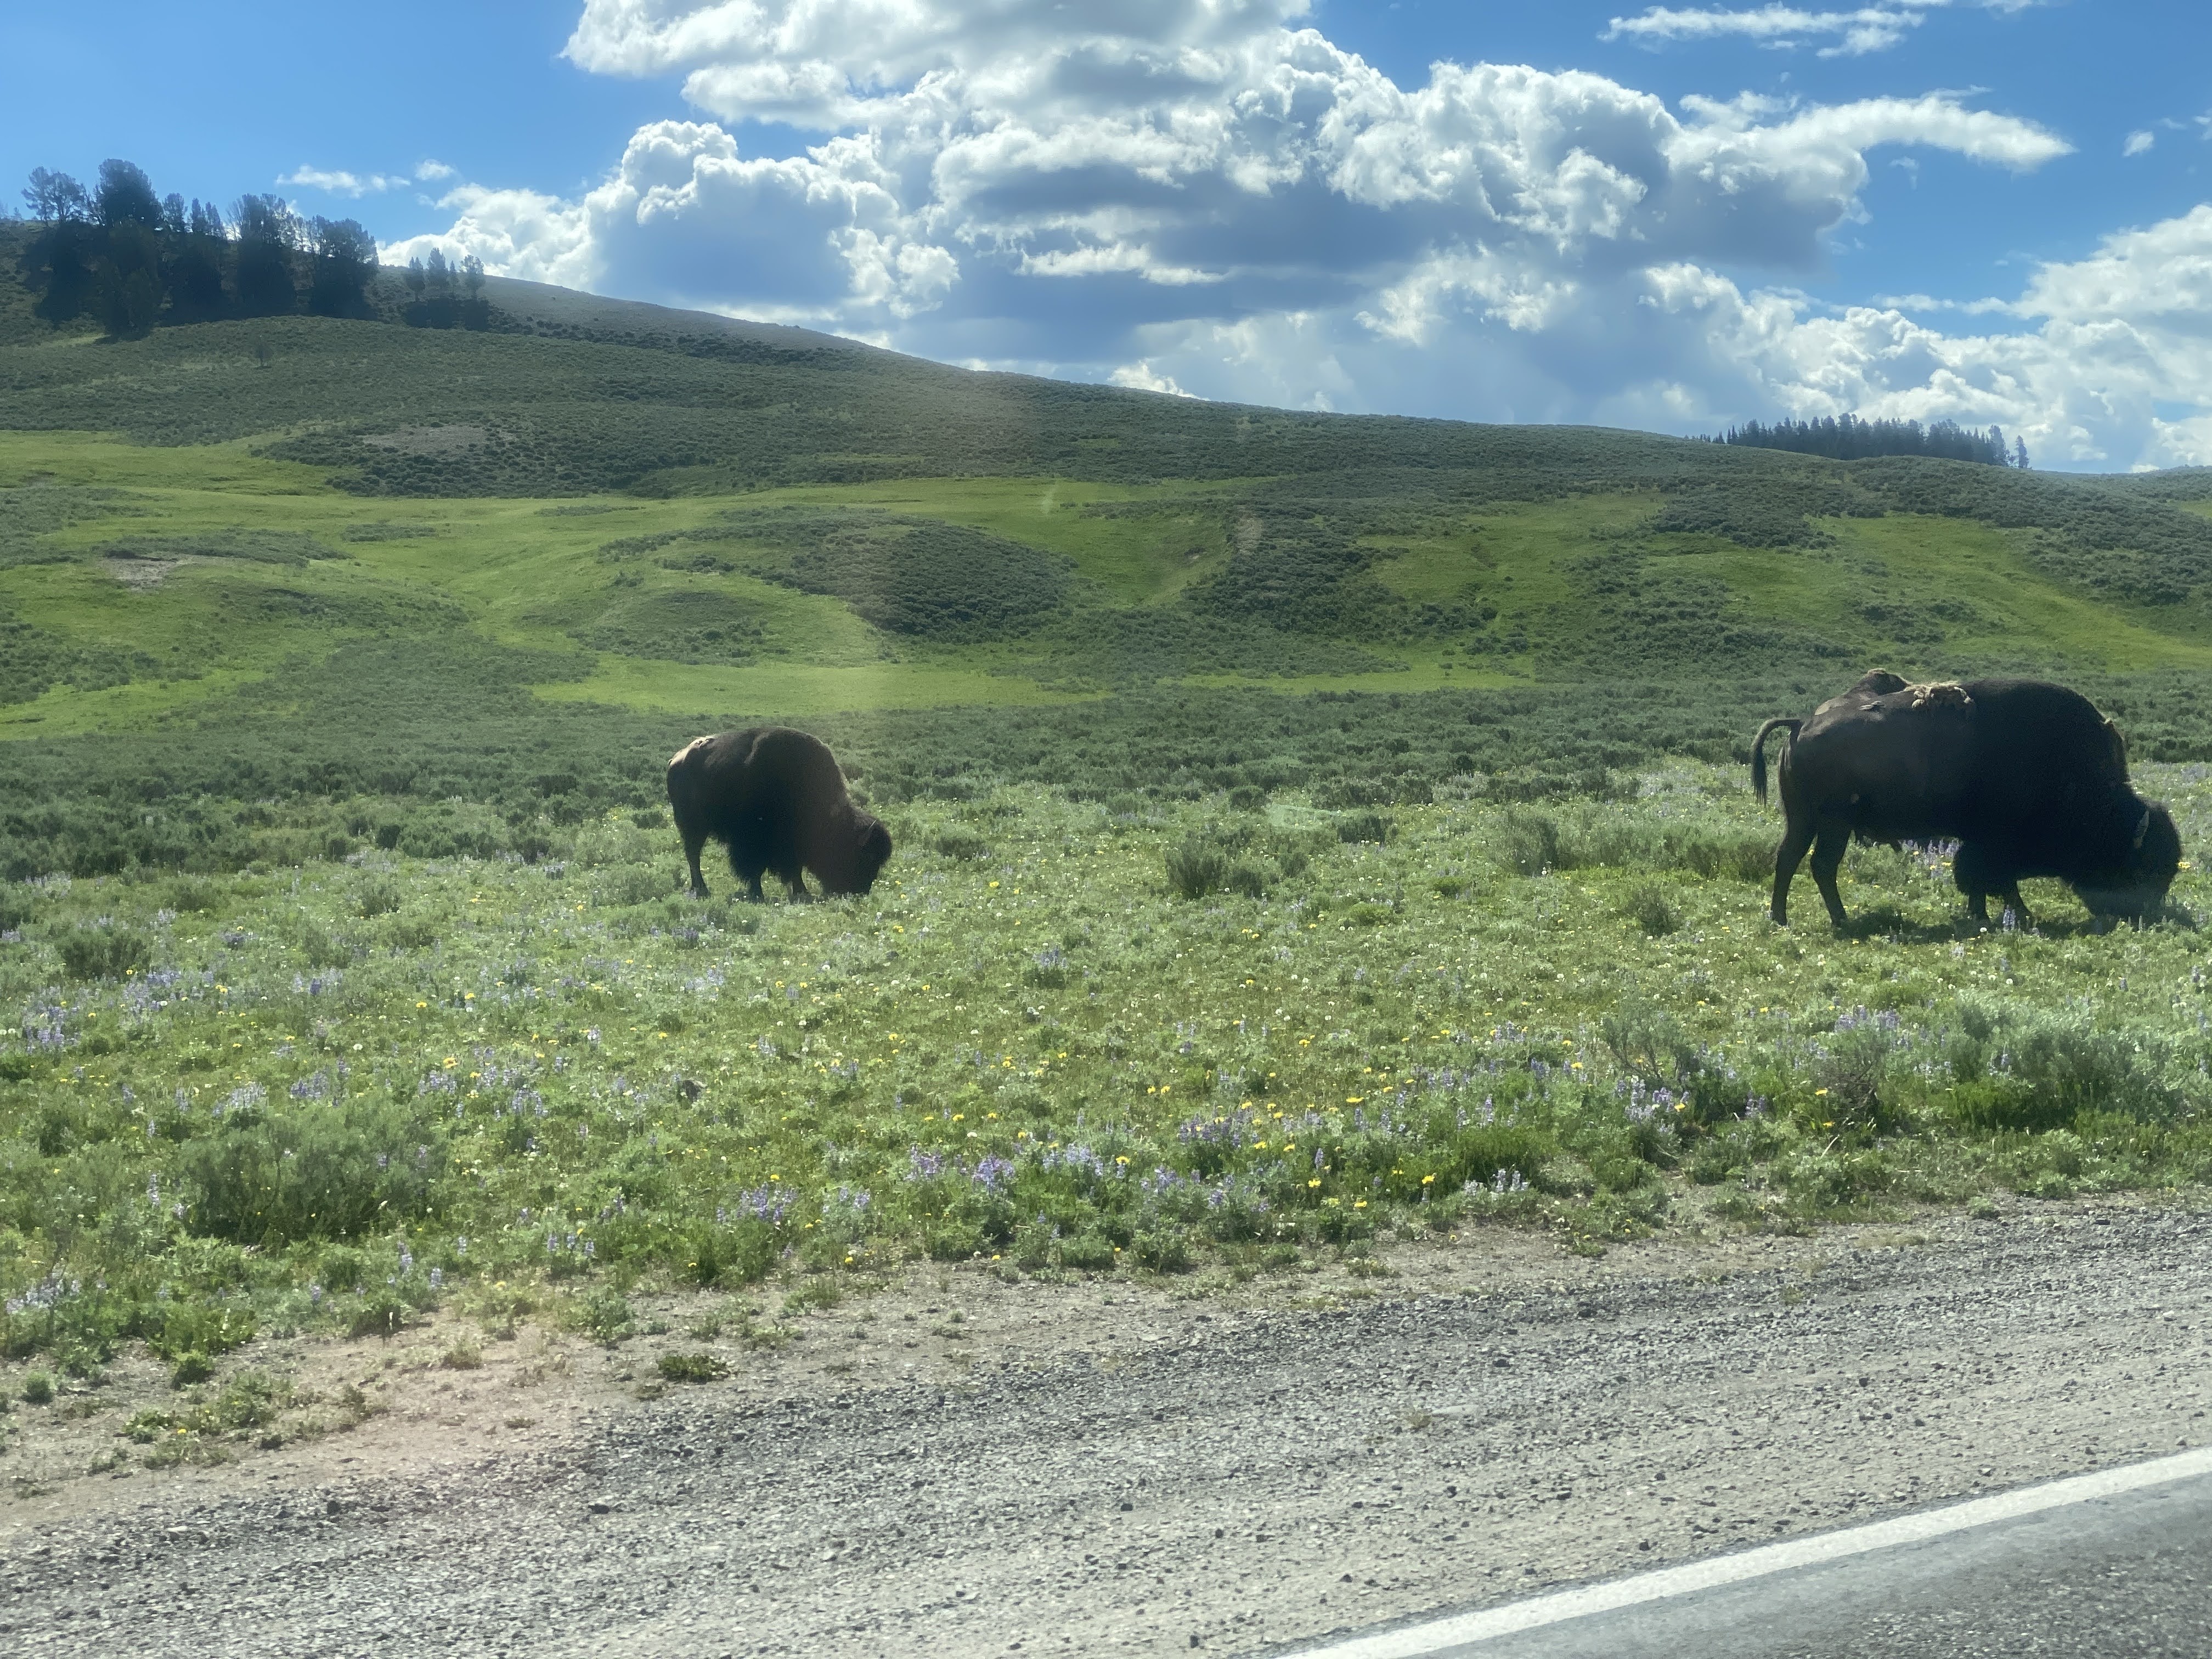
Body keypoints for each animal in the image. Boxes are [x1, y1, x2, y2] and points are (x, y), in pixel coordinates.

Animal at [666, 727, 892, 902]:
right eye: (864, 857)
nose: (860, 891)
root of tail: (677, 759)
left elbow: (795, 868)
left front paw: (801, 892)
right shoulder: (753, 842)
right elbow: (755, 869)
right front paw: (759, 894)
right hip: (693, 826)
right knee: (693, 855)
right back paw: (702, 890)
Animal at [1751, 672, 2179, 929]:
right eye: (2142, 867)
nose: (2145, 914)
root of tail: (1801, 724)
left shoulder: (1980, 839)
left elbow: (1980, 879)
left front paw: (1983, 914)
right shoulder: (1996, 842)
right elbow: (1995, 879)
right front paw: (2019, 915)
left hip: (1805, 820)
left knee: (1792, 858)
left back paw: (1787, 918)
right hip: (1832, 824)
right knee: (1819, 865)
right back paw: (1832, 920)